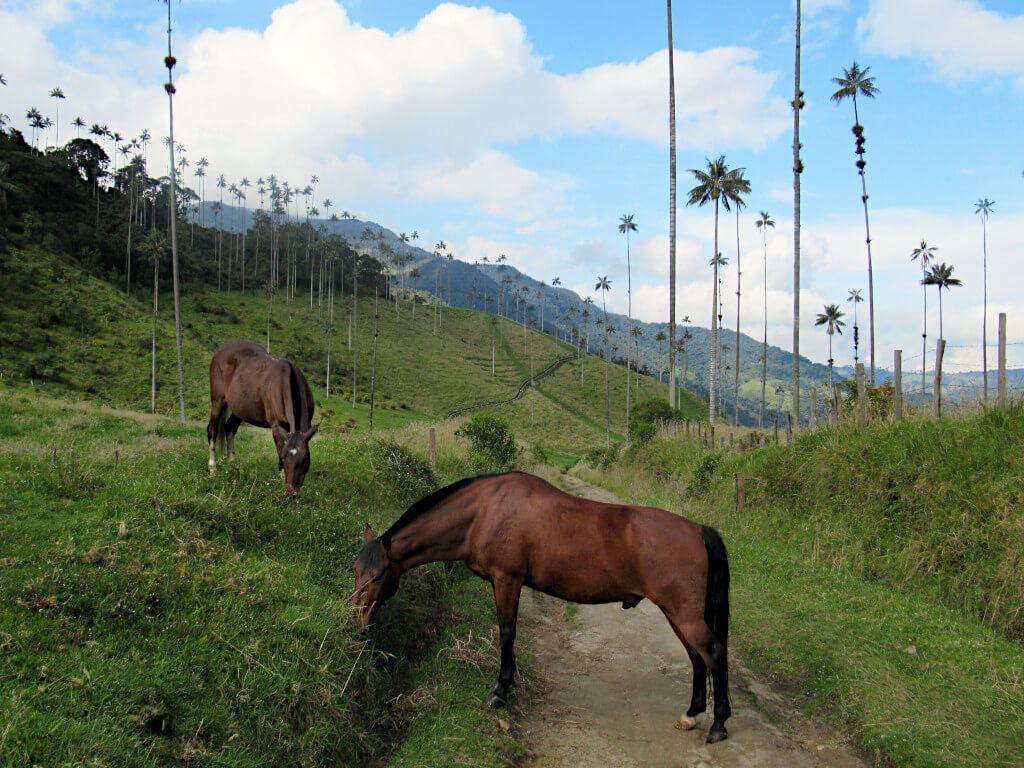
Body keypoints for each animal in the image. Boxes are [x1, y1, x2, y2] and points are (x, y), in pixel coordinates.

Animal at [205, 342, 317, 495]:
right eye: (284, 458)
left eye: (305, 459)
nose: (290, 492)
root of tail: (220, 351)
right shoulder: (276, 427)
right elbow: (279, 447)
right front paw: (281, 478)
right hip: (217, 401)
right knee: (212, 429)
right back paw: (213, 468)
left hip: (240, 409)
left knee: (230, 428)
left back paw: (234, 465)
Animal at [350, 473, 729, 741]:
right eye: (355, 570)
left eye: (378, 575)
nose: (356, 619)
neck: (485, 510)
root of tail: (698, 530)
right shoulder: (503, 582)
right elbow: (507, 634)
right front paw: (507, 682)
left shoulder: (507, 580)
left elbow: (506, 632)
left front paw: (500, 691)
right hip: (676, 612)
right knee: (696, 657)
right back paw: (691, 714)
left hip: (684, 613)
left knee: (713, 653)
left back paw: (719, 725)